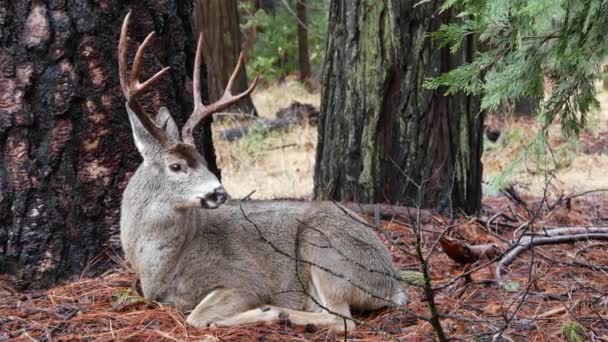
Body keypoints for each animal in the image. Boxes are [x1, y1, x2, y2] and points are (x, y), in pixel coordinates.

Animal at [117, 11, 406, 334]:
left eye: (203, 161)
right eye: (176, 166)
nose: (220, 192)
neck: (163, 266)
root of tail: (392, 282)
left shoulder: (244, 279)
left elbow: (198, 317)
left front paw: (263, 310)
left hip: (326, 250)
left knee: (342, 320)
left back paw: (282, 313)